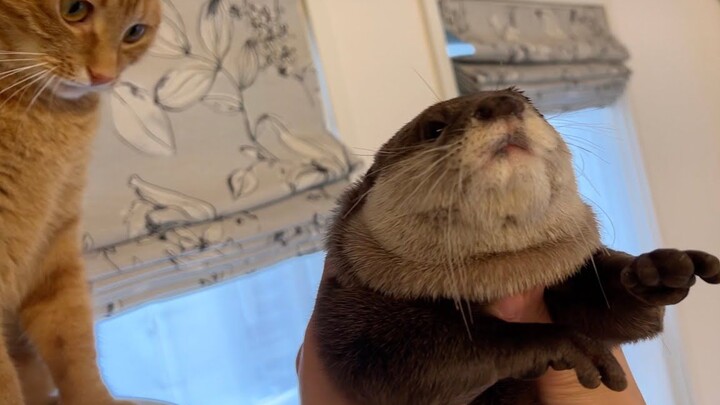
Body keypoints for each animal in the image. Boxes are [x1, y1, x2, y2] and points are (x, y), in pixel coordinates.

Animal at [314, 89, 720, 404]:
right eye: (434, 128)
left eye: (528, 101)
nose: (499, 101)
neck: (503, 280)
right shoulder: (351, 303)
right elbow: (393, 367)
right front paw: (560, 340)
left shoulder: (571, 272)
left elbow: (630, 314)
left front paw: (657, 271)